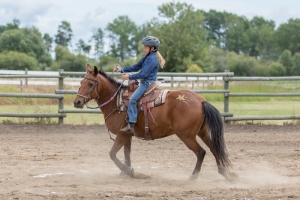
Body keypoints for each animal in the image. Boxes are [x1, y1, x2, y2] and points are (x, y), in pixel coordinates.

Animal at [73, 64, 237, 181]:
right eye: (80, 82)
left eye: (90, 84)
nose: (77, 102)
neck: (116, 102)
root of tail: (201, 101)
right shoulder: (127, 135)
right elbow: (127, 154)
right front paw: (126, 172)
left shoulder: (121, 135)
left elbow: (112, 154)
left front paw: (131, 172)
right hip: (202, 132)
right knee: (215, 148)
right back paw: (226, 174)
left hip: (187, 136)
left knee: (201, 152)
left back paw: (193, 177)